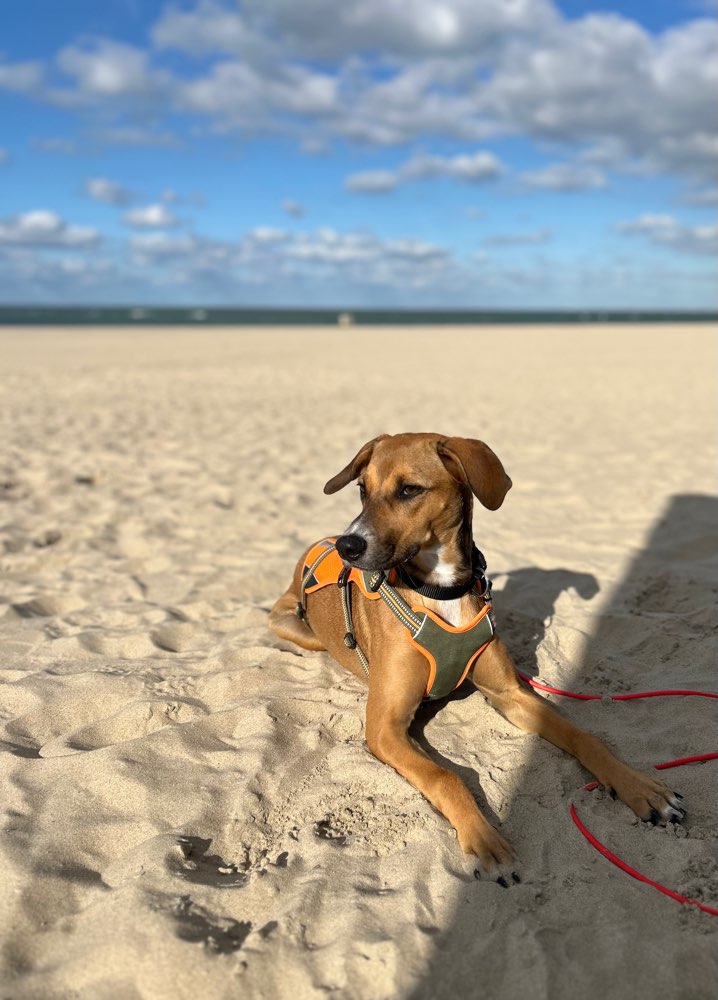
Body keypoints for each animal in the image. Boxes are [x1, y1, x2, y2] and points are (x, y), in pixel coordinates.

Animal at [270, 434, 688, 880]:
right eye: (362, 489)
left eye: (409, 490)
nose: (348, 546)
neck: (440, 589)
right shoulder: (385, 728)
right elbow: (446, 777)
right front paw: (487, 841)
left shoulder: (510, 693)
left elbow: (584, 736)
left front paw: (641, 788)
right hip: (297, 628)